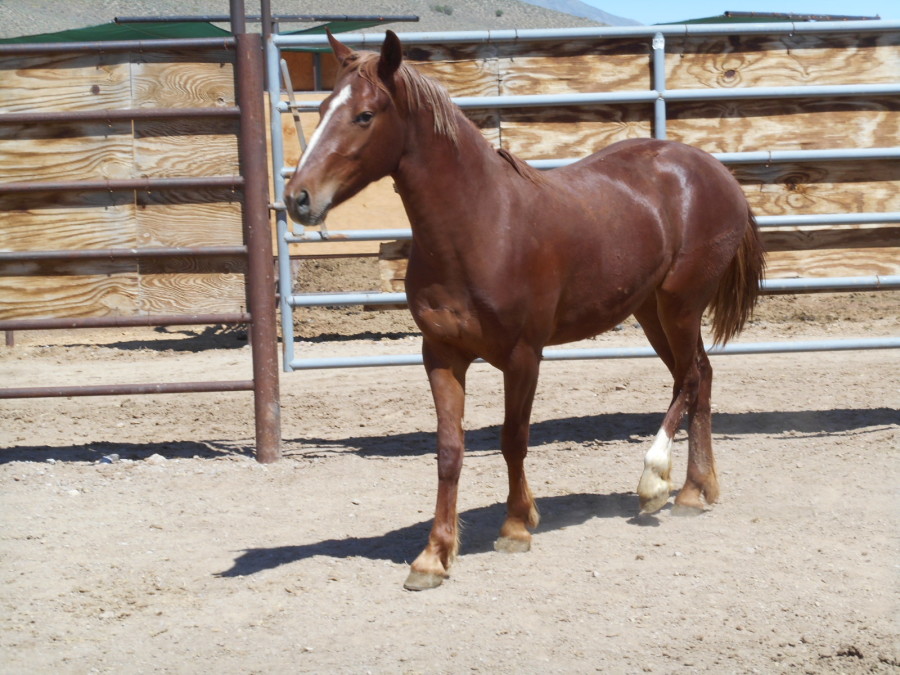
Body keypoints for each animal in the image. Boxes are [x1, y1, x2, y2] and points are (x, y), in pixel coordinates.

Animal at [284, 30, 766, 590]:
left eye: (364, 114)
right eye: (321, 109)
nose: (298, 198)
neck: (479, 225)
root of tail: (713, 170)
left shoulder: (523, 356)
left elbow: (513, 439)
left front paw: (516, 527)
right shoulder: (441, 355)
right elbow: (449, 450)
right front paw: (433, 555)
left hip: (680, 304)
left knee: (689, 380)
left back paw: (655, 482)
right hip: (652, 312)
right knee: (699, 377)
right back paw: (694, 490)